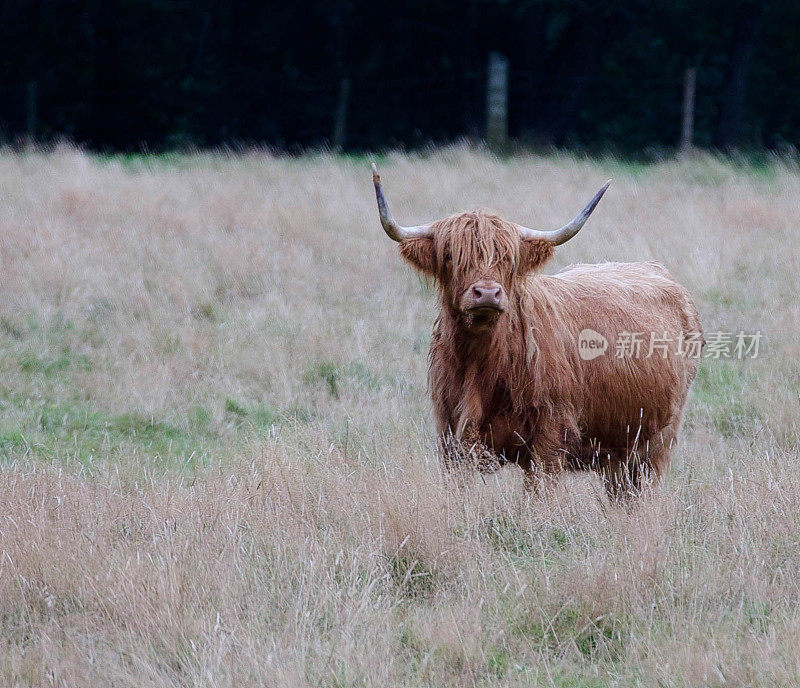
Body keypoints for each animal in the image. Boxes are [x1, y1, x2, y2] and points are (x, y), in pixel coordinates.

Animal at [372, 167, 704, 500]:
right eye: (451, 255)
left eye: (509, 258)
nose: (487, 293)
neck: (482, 365)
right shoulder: (451, 436)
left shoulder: (550, 436)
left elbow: (535, 500)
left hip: (656, 441)